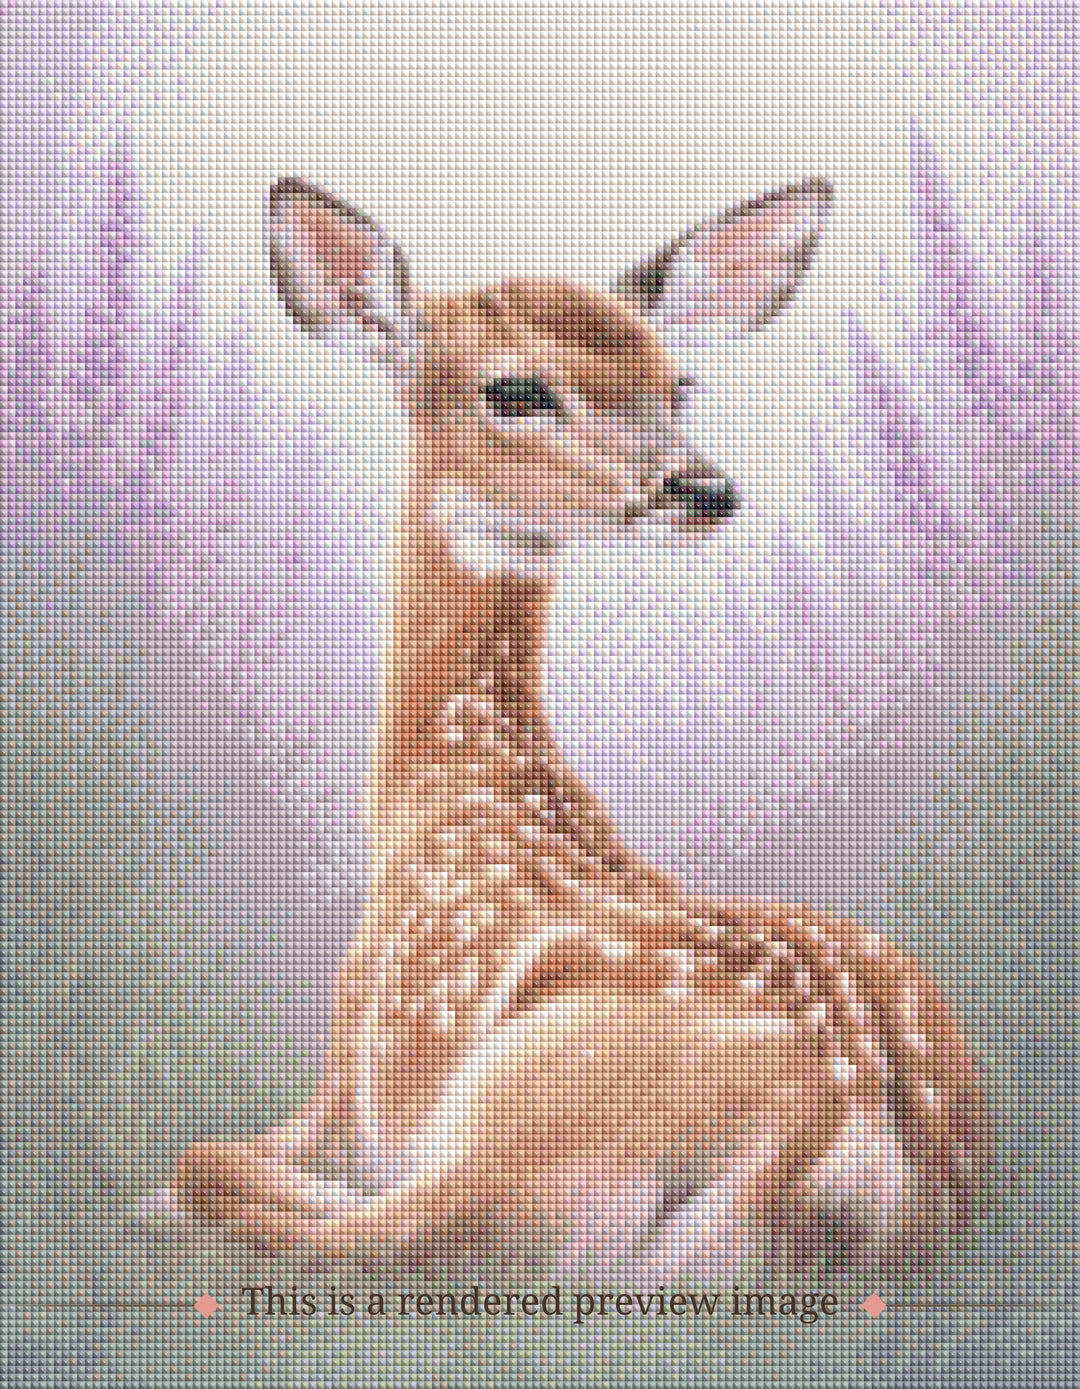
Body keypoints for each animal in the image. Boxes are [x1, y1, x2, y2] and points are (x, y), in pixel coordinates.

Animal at [146, 175, 990, 1285]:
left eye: (679, 385)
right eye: (515, 391)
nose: (705, 488)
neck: (454, 785)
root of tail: (841, 1147)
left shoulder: (352, 1060)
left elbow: (210, 1154)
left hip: (528, 1123)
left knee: (359, 1228)